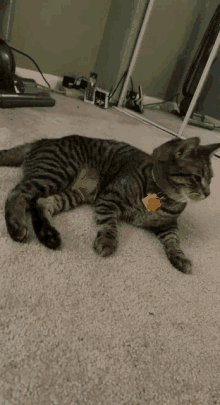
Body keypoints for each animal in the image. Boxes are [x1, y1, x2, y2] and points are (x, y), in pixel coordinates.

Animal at [0, 134, 219, 274]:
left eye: (211, 179)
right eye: (197, 178)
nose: (208, 193)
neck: (162, 197)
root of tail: (45, 140)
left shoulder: (169, 225)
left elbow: (174, 241)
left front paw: (180, 257)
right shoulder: (108, 200)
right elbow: (110, 225)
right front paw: (107, 240)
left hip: (72, 193)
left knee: (41, 202)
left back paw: (48, 235)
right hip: (56, 174)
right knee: (17, 194)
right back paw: (16, 226)